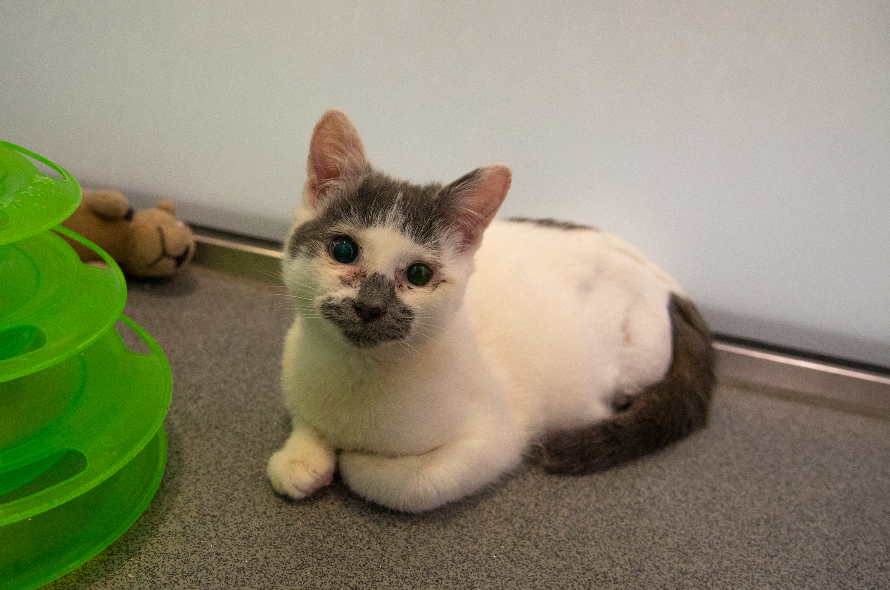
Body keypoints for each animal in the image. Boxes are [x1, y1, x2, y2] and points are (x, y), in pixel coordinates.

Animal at [266, 110, 716, 512]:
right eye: (343, 250)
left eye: (418, 274)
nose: (370, 306)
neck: (356, 375)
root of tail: (669, 284)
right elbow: (305, 423)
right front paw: (301, 458)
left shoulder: (494, 440)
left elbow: (410, 483)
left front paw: (354, 460)